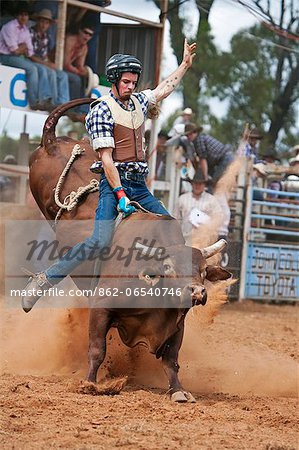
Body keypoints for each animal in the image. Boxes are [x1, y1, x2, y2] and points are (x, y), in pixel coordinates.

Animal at [29, 100, 232, 402]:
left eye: (204, 271)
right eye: (169, 268)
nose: (196, 292)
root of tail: (52, 143)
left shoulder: (177, 324)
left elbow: (171, 360)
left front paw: (178, 391)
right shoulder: (101, 307)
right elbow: (97, 349)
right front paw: (90, 384)